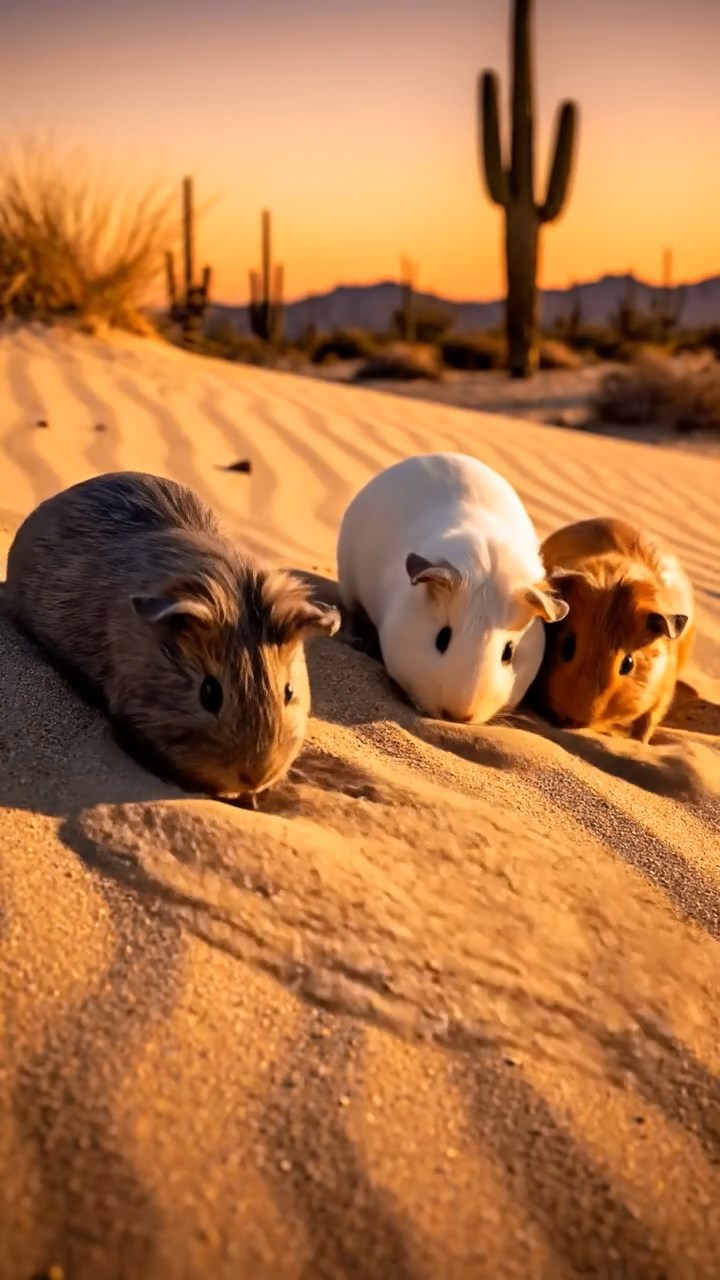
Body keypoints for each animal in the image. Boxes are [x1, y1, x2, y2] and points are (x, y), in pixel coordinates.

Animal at [532, 516, 695, 742]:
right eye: (567, 647)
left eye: (628, 664)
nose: (575, 721)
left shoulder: (663, 694)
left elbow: (647, 723)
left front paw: (638, 742)